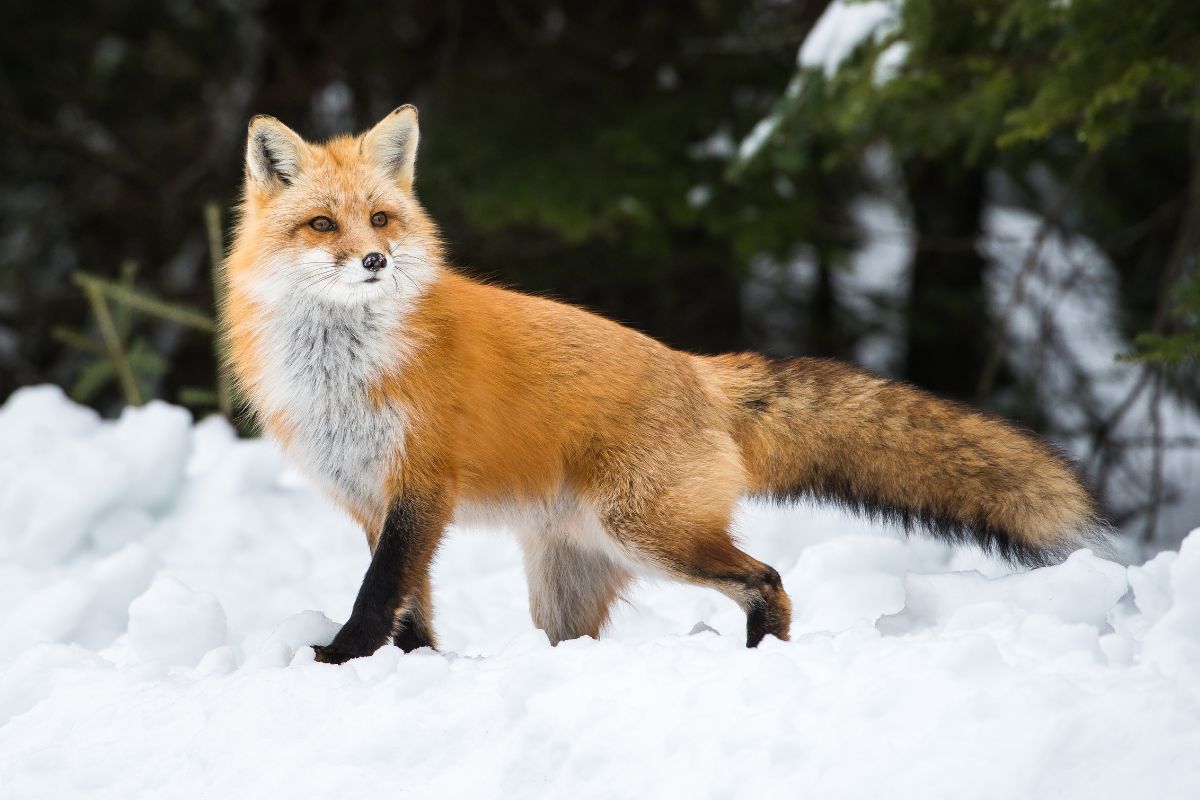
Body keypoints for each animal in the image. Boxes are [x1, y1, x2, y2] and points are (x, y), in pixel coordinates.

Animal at [223, 106, 1104, 662]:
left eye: (380, 219)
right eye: (322, 225)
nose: (375, 259)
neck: (344, 369)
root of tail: (696, 369)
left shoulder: (421, 487)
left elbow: (379, 595)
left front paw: (339, 660)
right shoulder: (372, 499)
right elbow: (409, 606)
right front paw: (410, 666)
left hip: (650, 533)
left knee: (768, 580)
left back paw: (762, 658)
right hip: (570, 579)